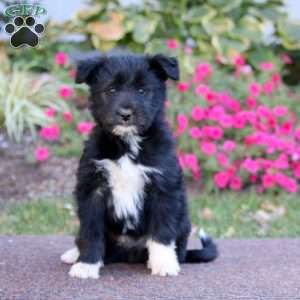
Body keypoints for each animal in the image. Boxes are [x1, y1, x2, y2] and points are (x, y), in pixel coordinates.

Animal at [61, 51, 217, 278]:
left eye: (142, 91)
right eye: (111, 89)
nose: (126, 114)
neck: (127, 143)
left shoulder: (163, 188)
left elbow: (161, 232)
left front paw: (164, 264)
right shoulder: (92, 188)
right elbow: (90, 232)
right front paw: (87, 265)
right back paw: (75, 253)